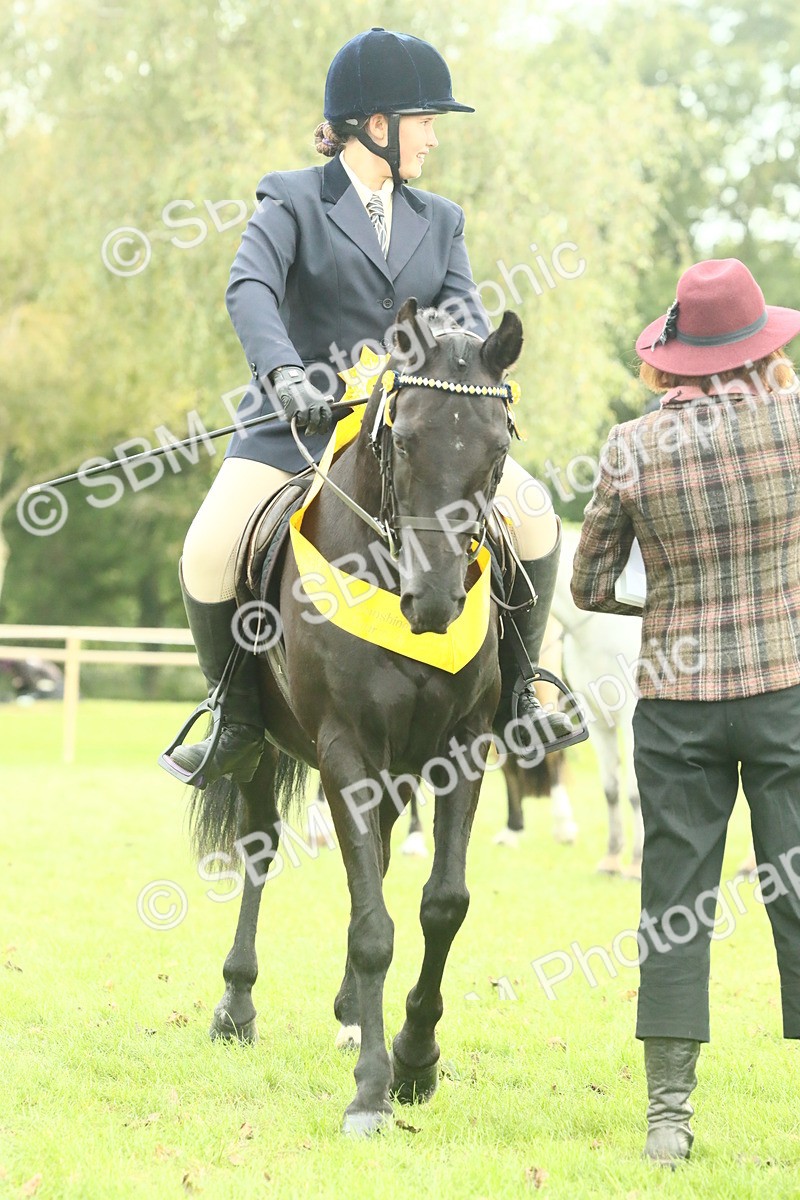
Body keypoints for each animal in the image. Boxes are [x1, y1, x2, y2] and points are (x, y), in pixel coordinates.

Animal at [188, 300, 528, 1136]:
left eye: (499, 448)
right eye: (402, 438)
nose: (434, 603)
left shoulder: (462, 747)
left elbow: (441, 904)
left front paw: (416, 1059)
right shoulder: (345, 748)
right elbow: (374, 925)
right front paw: (375, 1090)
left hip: (398, 766)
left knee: (373, 853)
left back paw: (348, 1013)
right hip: (266, 749)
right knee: (260, 848)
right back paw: (236, 1006)